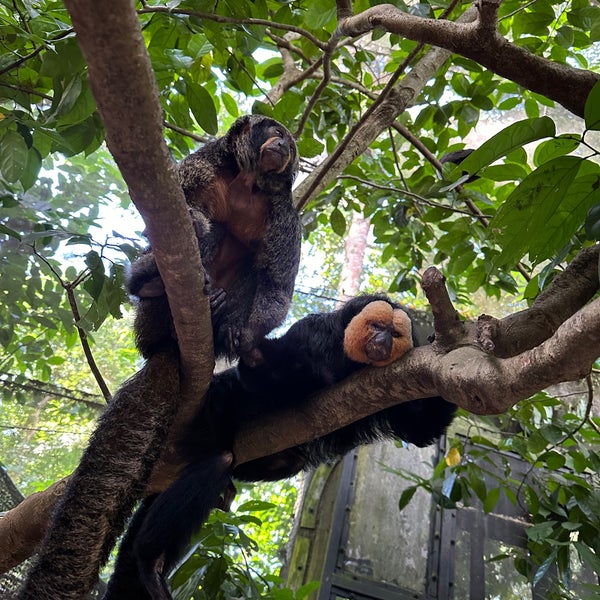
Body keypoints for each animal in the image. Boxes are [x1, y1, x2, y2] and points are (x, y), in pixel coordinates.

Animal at [105, 296, 458, 600]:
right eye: (377, 326)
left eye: (395, 333)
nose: (383, 341)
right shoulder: (314, 333)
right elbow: (265, 374)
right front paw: (247, 345)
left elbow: (420, 430)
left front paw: (438, 343)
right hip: (204, 417)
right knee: (220, 451)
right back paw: (149, 558)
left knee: (273, 463)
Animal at [129, 115, 302, 360]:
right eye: (278, 133)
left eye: (291, 148)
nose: (284, 146)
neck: (247, 182)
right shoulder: (204, 162)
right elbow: (168, 217)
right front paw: (195, 220)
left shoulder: (285, 214)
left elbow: (276, 283)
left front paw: (248, 333)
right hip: (149, 320)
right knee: (213, 231)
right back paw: (150, 283)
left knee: (253, 268)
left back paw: (223, 320)